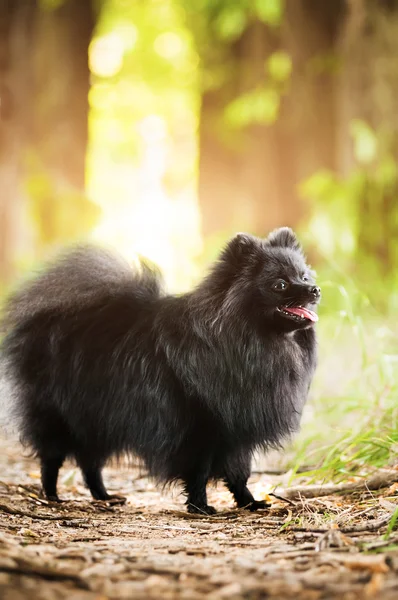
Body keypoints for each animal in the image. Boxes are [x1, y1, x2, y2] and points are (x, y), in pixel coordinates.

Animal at [0, 227, 320, 512]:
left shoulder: (236, 431)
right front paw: (200, 506)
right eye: (280, 284)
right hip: (63, 418)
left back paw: (104, 496)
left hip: (97, 419)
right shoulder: (202, 425)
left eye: (303, 276)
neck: (247, 338)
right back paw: (52, 496)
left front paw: (249, 502)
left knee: (90, 462)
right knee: (52, 459)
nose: (315, 289)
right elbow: (199, 471)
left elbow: (239, 472)